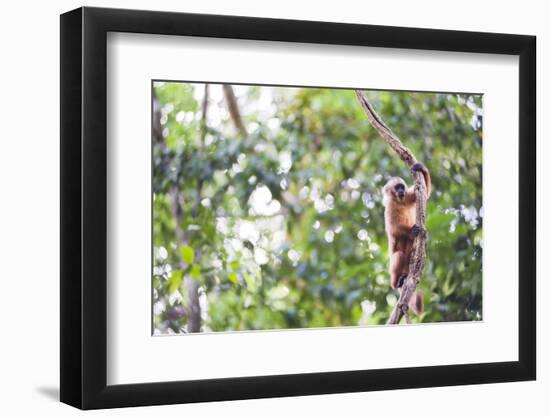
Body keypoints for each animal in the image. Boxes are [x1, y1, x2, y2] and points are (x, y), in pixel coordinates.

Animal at [384, 161, 432, 314]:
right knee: (399, 255)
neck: (399, 201)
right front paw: (412, 230)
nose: (401, 191)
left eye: (402, 187)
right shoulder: (389, 208)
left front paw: (421, 168)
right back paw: (396, 283)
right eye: (397, 187)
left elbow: (425, 194)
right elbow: (393, 230)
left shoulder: (407, 197)